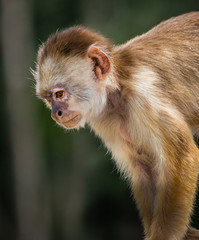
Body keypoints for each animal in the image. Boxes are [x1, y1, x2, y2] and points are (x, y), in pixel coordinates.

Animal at [34, 11, 199, 240]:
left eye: (59, 94)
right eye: (49, 99)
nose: (55, 114)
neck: (117, 89)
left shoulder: (143, 97)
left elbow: (184, 157)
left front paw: (162, 235)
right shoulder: (103, 120)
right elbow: (144, 169)